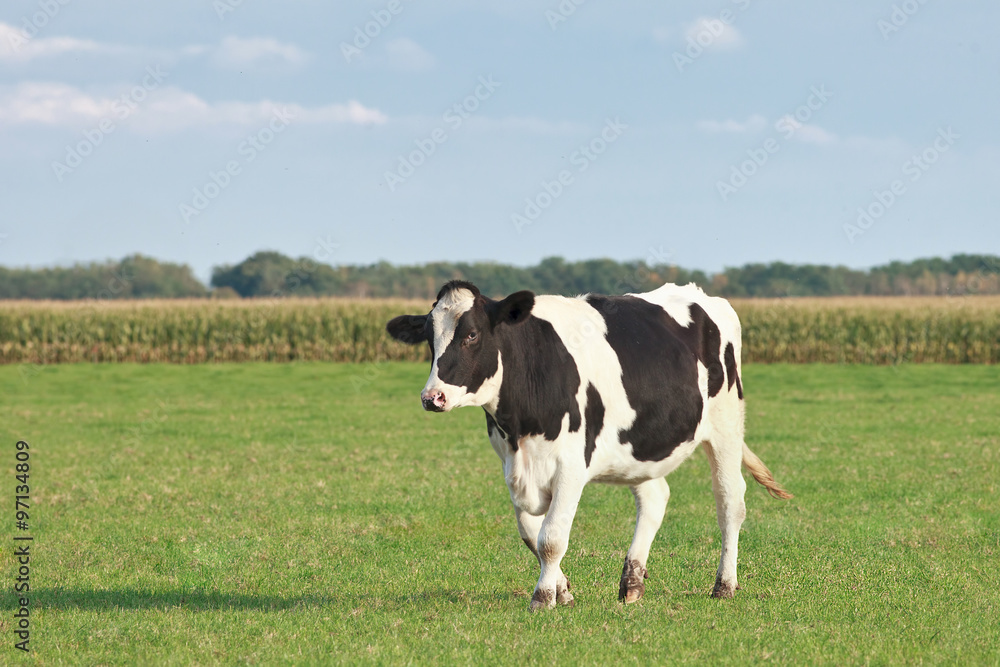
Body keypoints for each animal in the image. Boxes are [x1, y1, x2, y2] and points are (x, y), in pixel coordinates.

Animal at [386, 280, 792, 608]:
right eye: (429, 338)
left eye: (471, 335)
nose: (432, 397)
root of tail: (701, 294)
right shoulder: (511, 465)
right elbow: (531, 534)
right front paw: (562, 589)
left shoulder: (571, 464)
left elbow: (551, 537)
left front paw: (542, 597)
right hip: (639, 445)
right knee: (655, 498)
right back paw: (632, 582)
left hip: (726, 426)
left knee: (730, 502)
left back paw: (724, 585)